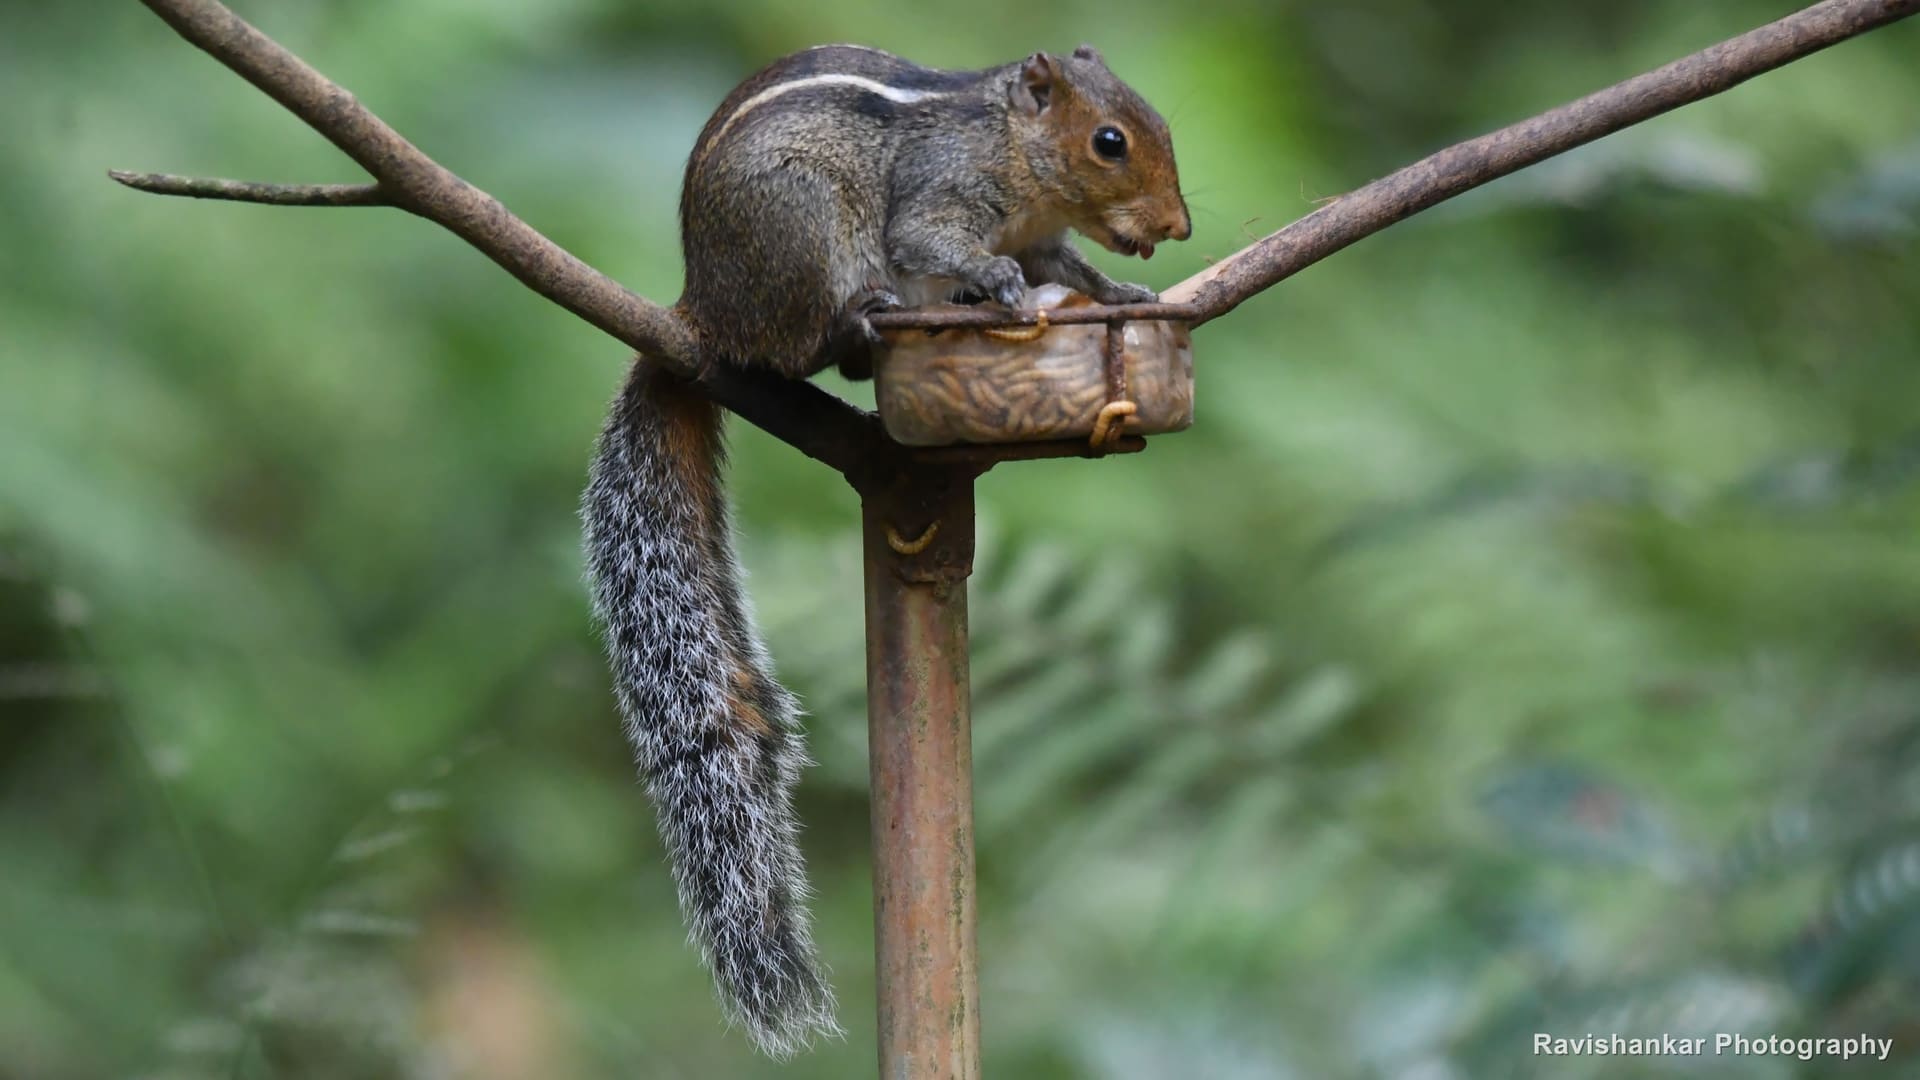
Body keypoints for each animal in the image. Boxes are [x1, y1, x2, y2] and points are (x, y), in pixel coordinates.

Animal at [580, 42, 1189, 1057]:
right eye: (1110, 141)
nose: (1178, 227)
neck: (1015, 152)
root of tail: (700, 312)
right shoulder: (941, 198)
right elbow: (939, 245)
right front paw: (1004, 287)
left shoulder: (1043, 237)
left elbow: (1071, 267)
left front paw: (1120, 293)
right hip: (803, 232)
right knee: (801, 343)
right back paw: (864, 319)